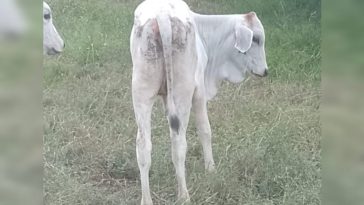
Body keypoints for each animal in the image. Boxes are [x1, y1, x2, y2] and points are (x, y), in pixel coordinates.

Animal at [130, 0, 268, 203]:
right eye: (256, 39)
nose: (265, 71)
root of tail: (162, 15)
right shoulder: (200, 91)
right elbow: (205, 130)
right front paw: (211, 169)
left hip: (142, 93)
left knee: (143, 146)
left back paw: (146, 199)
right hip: (182, 93)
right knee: (179, 143)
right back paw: (184, 196)